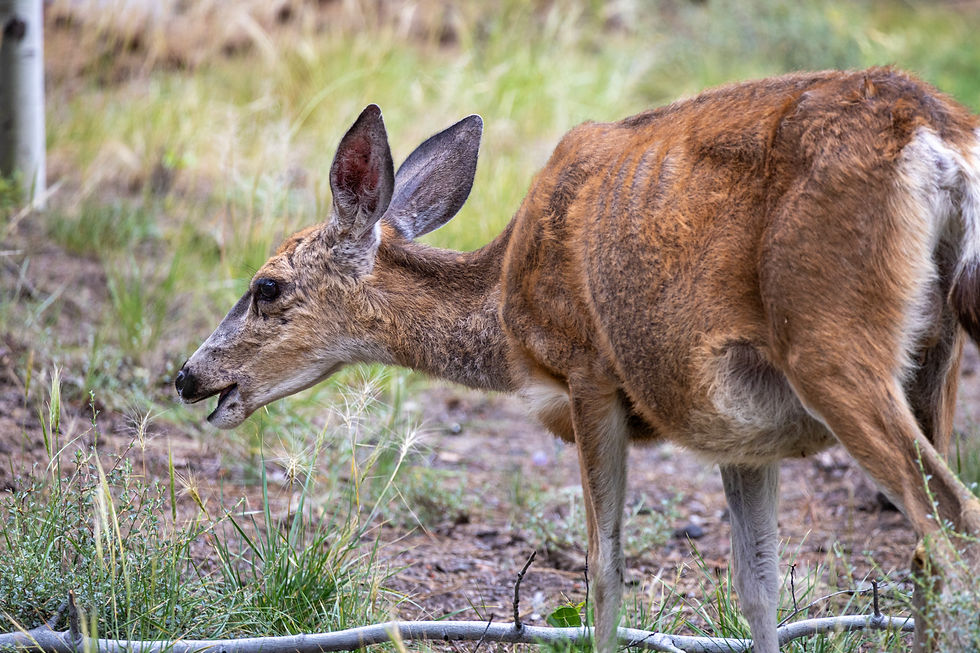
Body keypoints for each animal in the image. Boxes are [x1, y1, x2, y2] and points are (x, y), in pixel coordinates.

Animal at [176, 67, 980, 652]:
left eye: (267, 287)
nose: (188, 376)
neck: (505, 309)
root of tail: (939, 135)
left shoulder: (588, 368)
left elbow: (605, 569)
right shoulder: (737, 429)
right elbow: (759, 585)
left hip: (828, 335)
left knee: (953, 527)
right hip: (934, 353)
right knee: (927, 545)